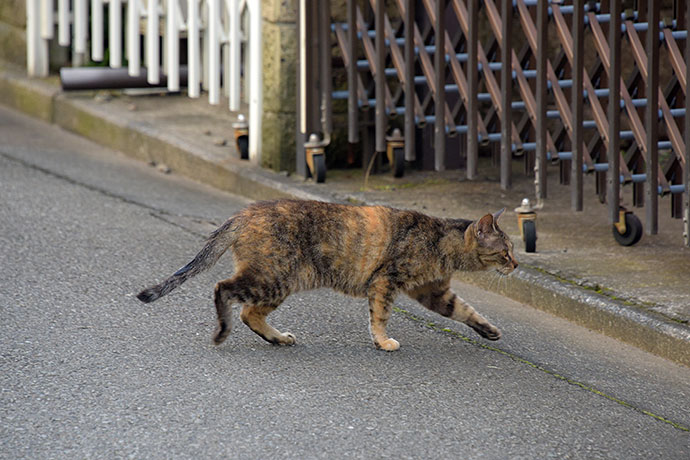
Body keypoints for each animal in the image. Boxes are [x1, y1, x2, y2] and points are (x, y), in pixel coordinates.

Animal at [137, 199, 516, 352]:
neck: (440, 241)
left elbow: (465, 310)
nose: (516, 265)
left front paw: (490, 331)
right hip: (272, 277)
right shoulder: (386, 282)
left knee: (250, 313)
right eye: (505, 251)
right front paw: (383, 342)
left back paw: (278, 339)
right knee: (223, 290)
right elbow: (380, 316)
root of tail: (243, 214)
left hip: (279, 283)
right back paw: (222, 333)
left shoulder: (433, 292)